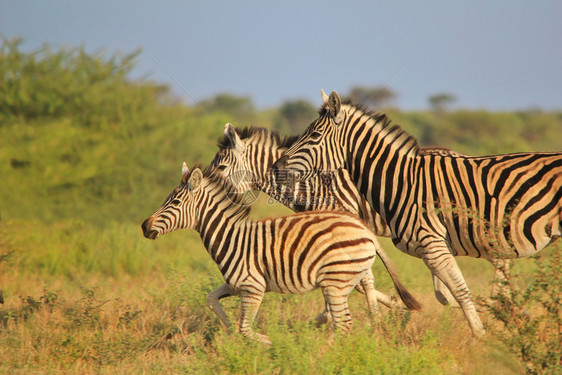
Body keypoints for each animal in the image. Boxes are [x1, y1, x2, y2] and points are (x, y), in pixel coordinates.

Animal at [140, 164, 384, 344]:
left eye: (175, 202)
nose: (144, 226)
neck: (231, 238)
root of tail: (364, 229)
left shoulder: (252, 286)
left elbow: (245, 328)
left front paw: (272, 343)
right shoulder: (236, 284)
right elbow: (211, 300)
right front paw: (229, 328)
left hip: (335, 282)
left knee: (344, 325)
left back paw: (321, 353)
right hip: (344, 278)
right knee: (359, 305)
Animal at [272, 89, 560, 336]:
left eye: (313, 136)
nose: (275, 168)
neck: (402, 181)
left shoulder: (433, 244)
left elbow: (460, 292)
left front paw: (481, 338)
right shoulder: (431, 250)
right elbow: (447, 295)